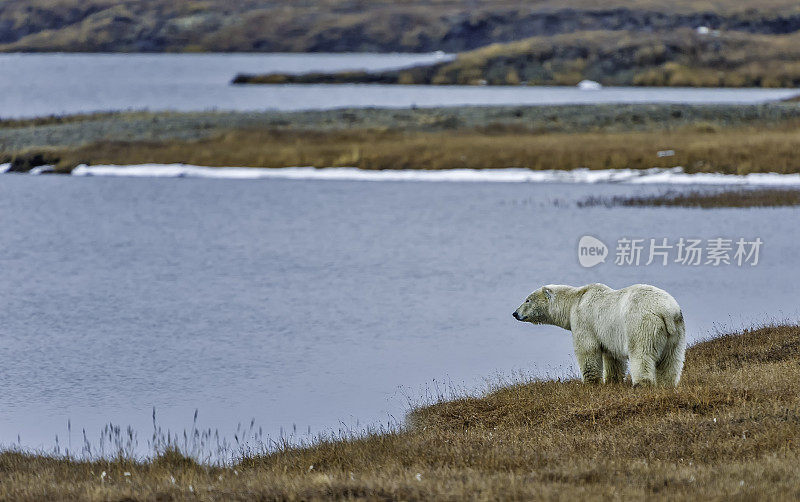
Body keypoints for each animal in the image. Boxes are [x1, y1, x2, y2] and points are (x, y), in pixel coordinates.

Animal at [516, 284, 684, 386]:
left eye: (527, 300)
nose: (515, 313)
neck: (575, 300)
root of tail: (665, 311)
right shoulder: (608, 334)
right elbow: (612, 358)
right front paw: (612, 381)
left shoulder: (584, 321)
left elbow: (587, 350)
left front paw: (591, 383)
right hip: (676, 331)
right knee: (671, 359)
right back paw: (667, 384)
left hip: (642, 325)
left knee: (641, 354)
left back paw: (641, 384)